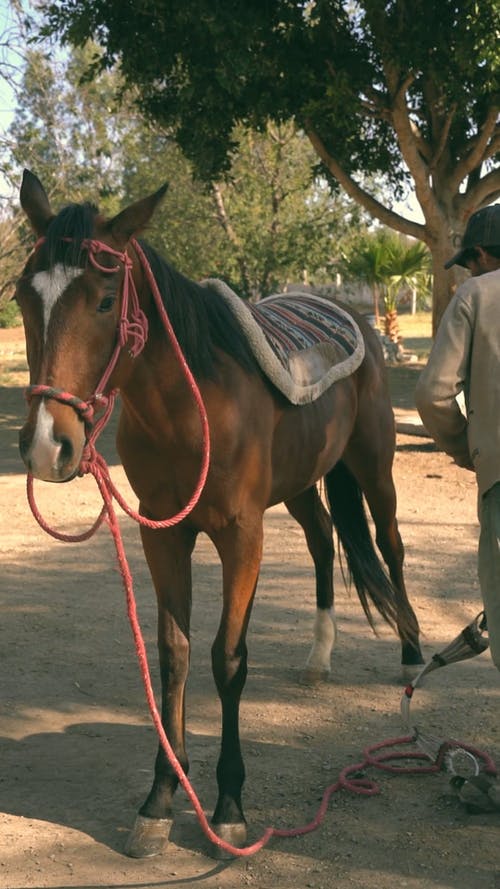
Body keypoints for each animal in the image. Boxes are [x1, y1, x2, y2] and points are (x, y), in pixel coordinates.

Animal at [15, 172, 422, 860]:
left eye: (104, 301)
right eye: (22, 296)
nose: (49, 445)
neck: (194, 405)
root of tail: (355, 320)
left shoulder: (242, 535)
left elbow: (227, 659)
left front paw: (228, 807)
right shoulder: (164, 534)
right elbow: (172, 653)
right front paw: (159, 799)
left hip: (373, 465)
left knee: (389, 545)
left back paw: (414, 658)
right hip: (300, 483)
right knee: (321, 541)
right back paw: (319, 657)